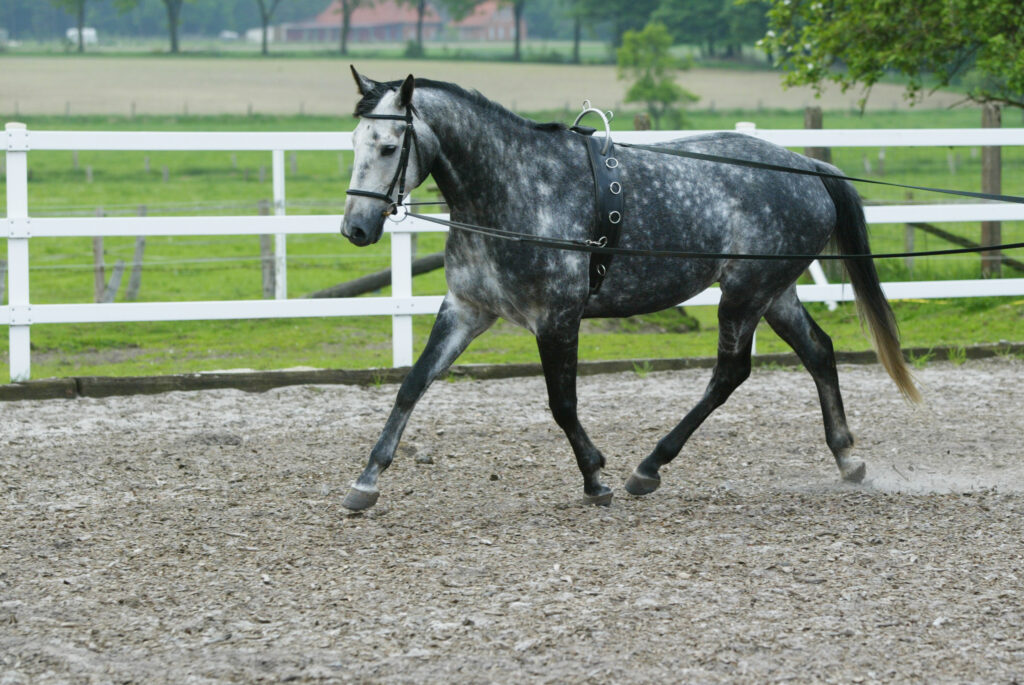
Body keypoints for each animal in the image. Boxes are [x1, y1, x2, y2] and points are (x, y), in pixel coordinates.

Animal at [339, 67, 920, 512]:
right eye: (354, 143)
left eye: (389, 146)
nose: (356, 229)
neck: (515, 188)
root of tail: (809, 166)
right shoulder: (465, 309)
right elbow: (413, 384)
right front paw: (366, 482)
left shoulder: (557, 318)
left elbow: (562, 404)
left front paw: (596, 479)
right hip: (774, 293)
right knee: (818, 351)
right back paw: (848, 458)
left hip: (745, 294)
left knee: (730, 374)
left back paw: (649, 467)